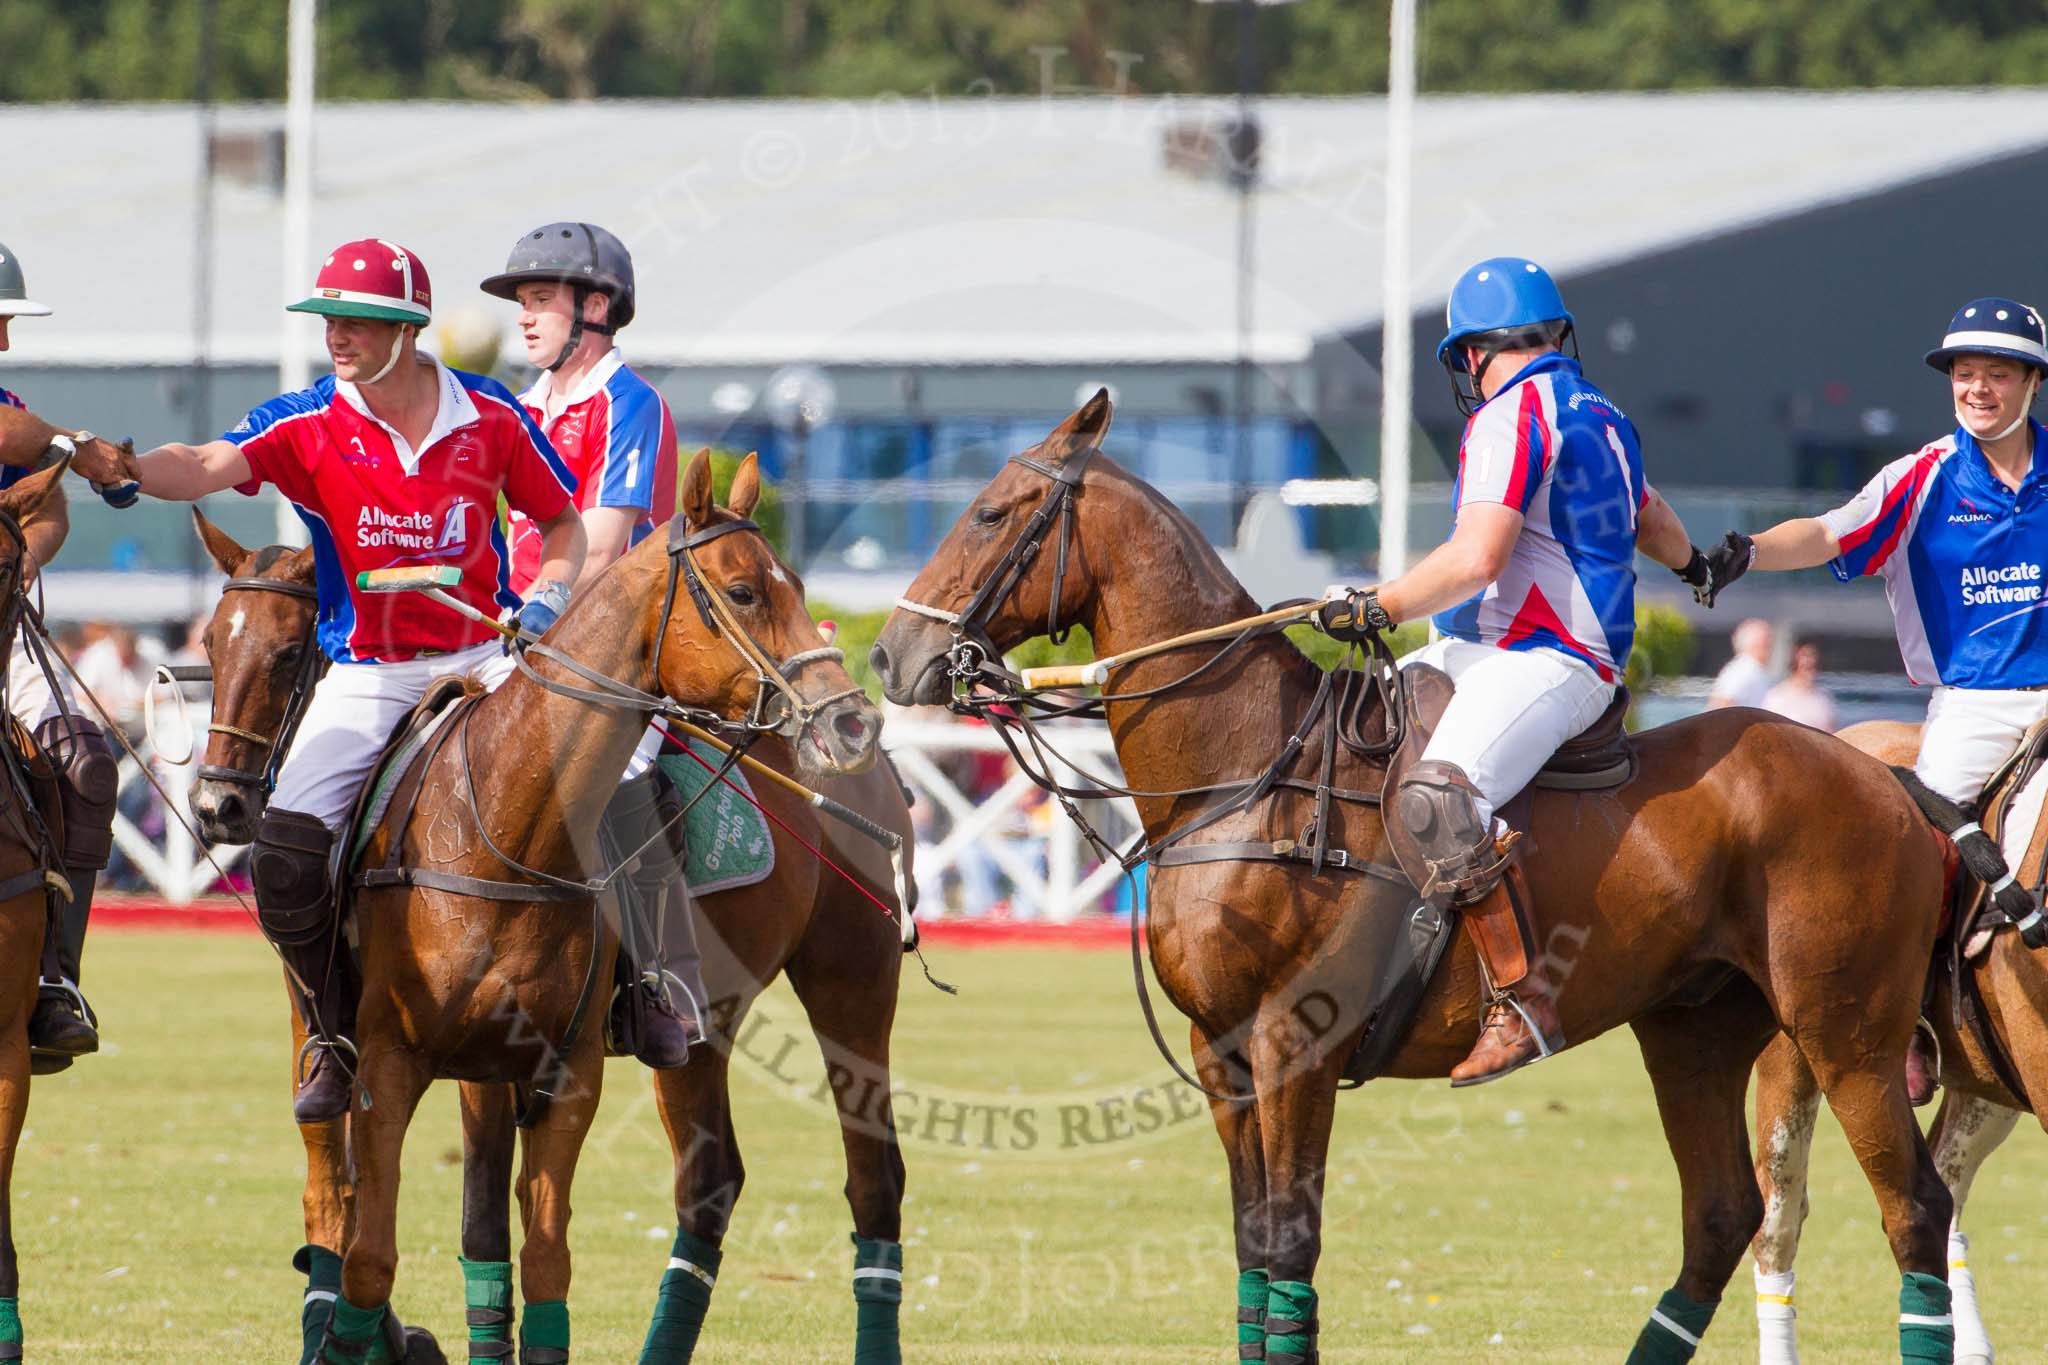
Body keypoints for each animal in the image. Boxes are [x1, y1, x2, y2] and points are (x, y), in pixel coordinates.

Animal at [876, 388, 1966, 1358]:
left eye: (990, 511)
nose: (892, 656)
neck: (1242, 769)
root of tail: (1892, 781)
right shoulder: (1219, 1053)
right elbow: (1251, 1249)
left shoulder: (1293, 1044)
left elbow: (1288, 1250)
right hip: (1693, 1030)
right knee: (1721, 1216)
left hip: (1847, 1034)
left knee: (1915, 1208)